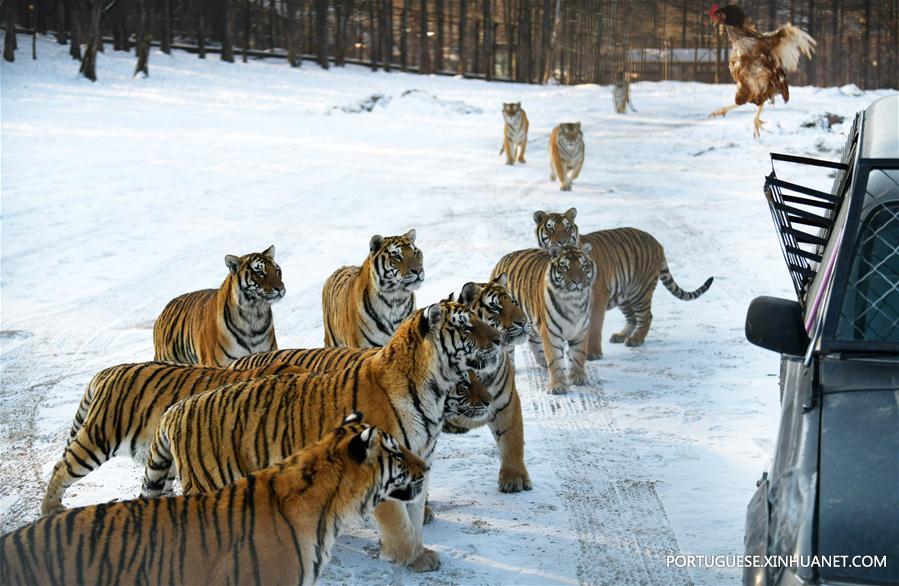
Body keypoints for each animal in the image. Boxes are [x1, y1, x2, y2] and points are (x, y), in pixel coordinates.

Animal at [142, 299, 501, 573]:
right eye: (466, 326)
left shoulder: (417, 464)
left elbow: (412, 515)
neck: (433, 392)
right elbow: (399, 522)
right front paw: (409, 559)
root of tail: (177, 408)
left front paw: (420, 553)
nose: (499, 338)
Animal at [492, 244, 596, 394]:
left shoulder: (581, 330)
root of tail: (503, 259)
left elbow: (578, 355)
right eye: (565, 267)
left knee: (532, 339)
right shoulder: (551, 332)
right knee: (508, 348)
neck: (573, 301)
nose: (577, 281)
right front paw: (557, 386)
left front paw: (578, 377)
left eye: (583, 266)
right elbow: (555, 359)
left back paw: (542, 361)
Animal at [533, 208, 714, 358]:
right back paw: (621, 335)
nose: (562, 242)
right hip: (624, 294)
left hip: (640, 291)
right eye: (550, 228)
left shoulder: (598, 298)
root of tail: (657, 243)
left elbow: (594, 328)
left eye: (567, 228)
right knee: (632, 317)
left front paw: (593, 354)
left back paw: (636, 339)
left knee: (646, 316)